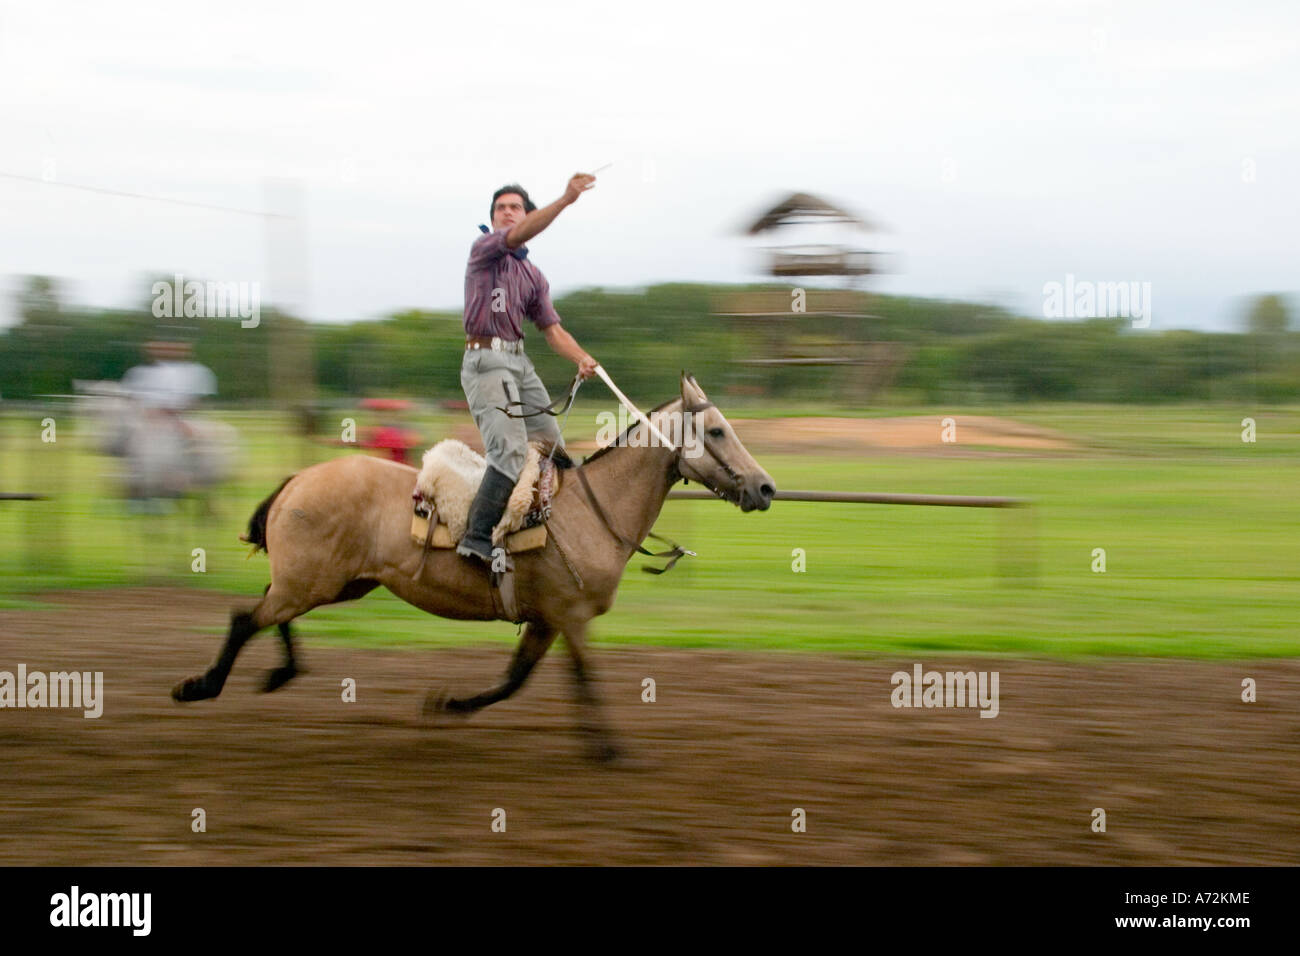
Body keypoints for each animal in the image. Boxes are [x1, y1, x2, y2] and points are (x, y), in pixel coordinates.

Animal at [172, 374, 780, 764]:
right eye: (718, 431)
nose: (766, 487)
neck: (590, 510)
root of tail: (298, 479)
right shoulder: (571, 617)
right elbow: (584, 679)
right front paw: (613, 751)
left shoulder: (547, 621)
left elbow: (513, 680)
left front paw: (449, 704)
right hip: (313, 582)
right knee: (245, 618)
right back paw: (200, 686)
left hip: (337, 583)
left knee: (268, 613)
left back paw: (281, 673)